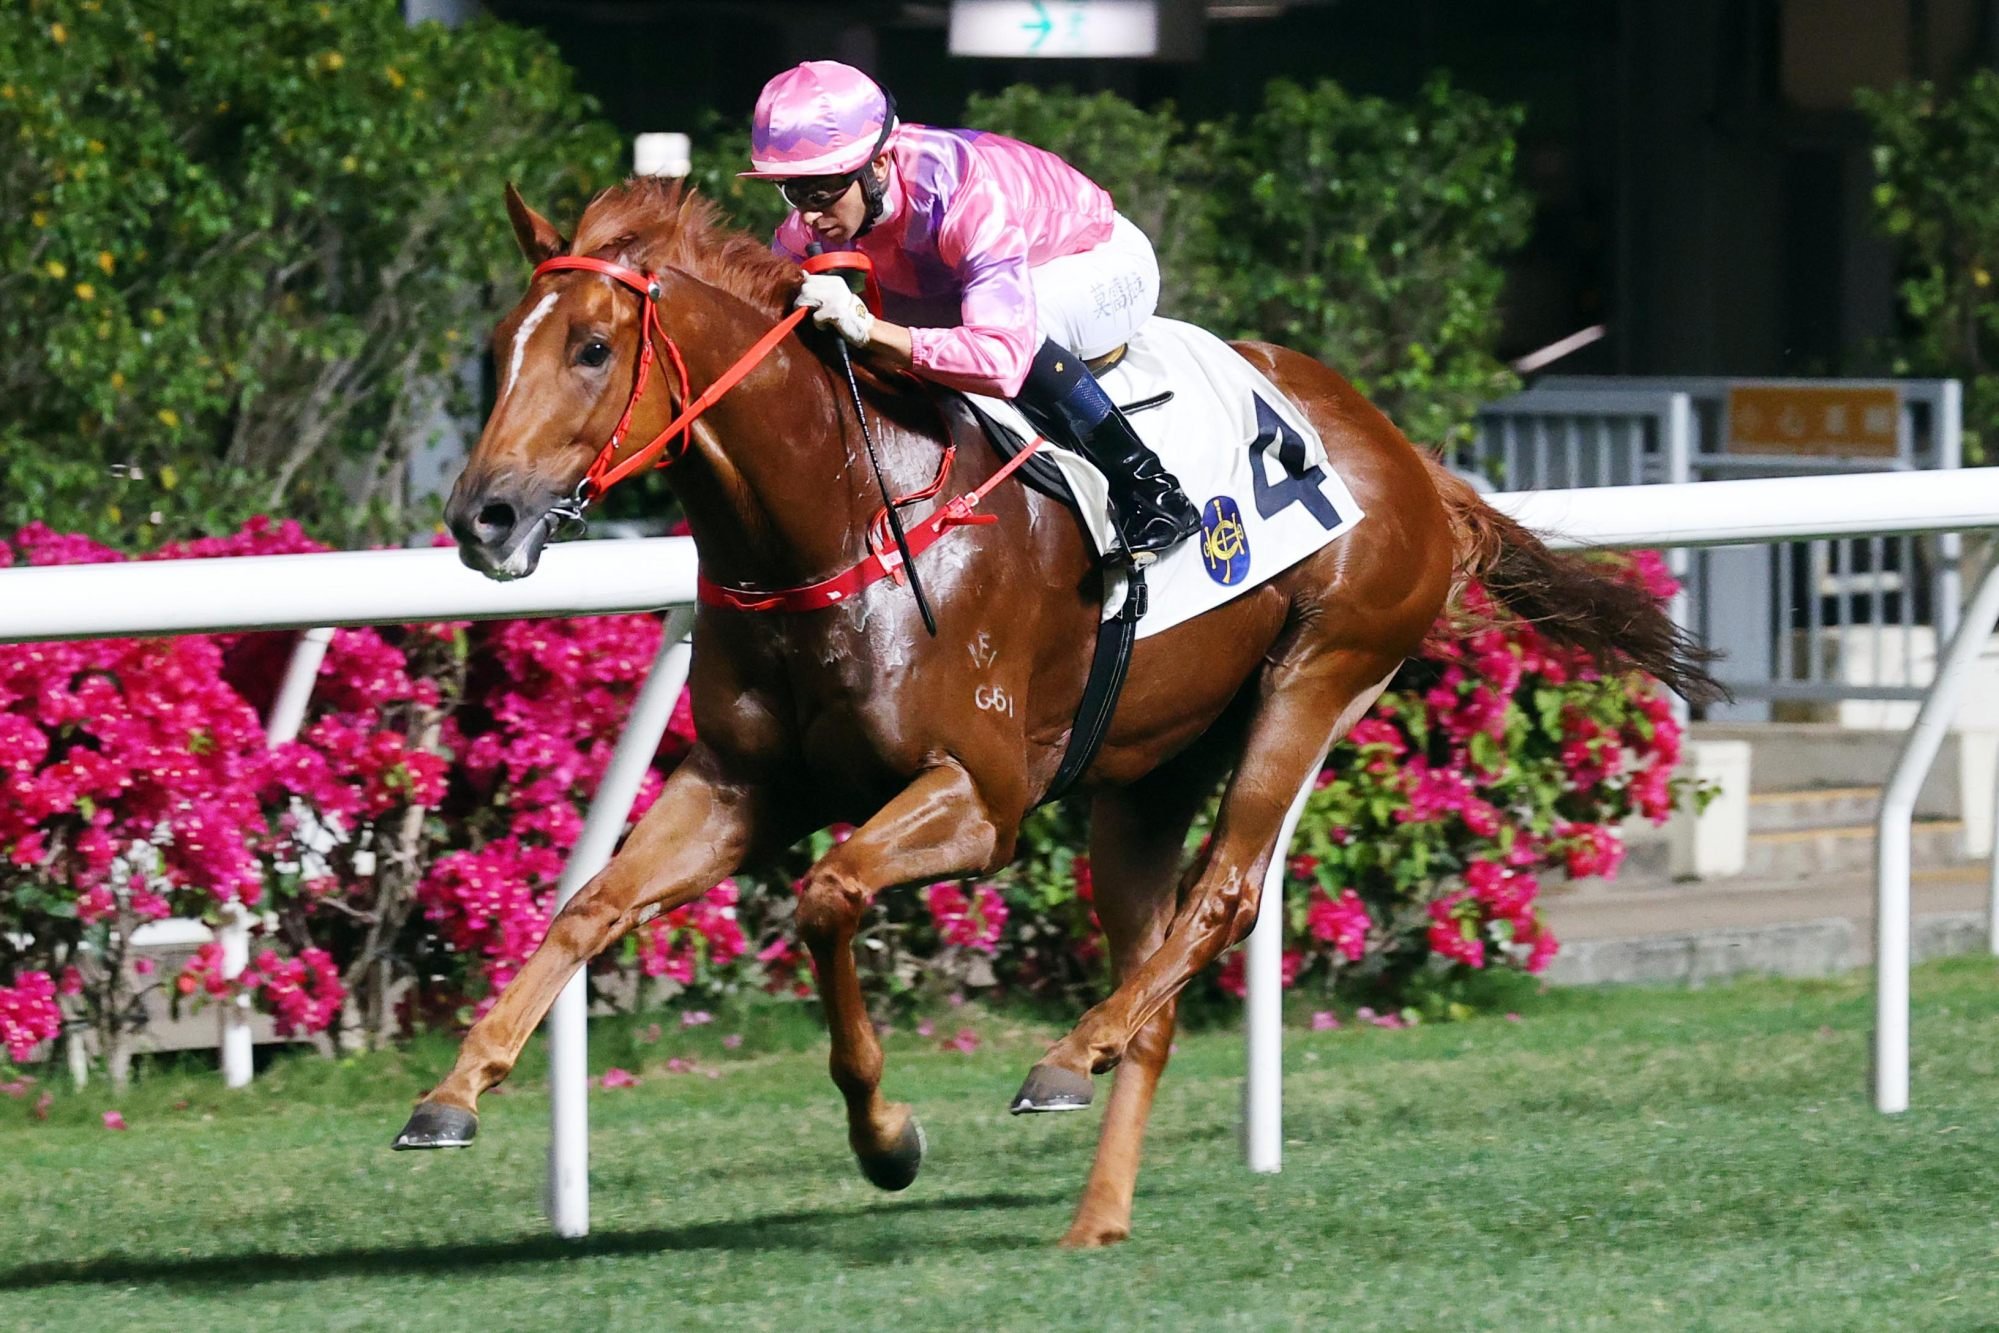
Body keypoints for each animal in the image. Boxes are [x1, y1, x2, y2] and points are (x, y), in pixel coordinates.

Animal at [401, 176, 1719, 1255]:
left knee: (1225, 896)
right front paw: (452, 1093)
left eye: (590, 347)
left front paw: (887, 1136)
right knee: (1160, 985)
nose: (484, 515)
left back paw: (1064, 1055)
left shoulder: (978, 799)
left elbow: (829, 894)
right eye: (496, 349)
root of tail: (1408, 455)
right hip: (1143, 777)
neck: (844, 510)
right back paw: (1097, 1208)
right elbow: (591, 904)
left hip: (1321, 670)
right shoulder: (739, 784)